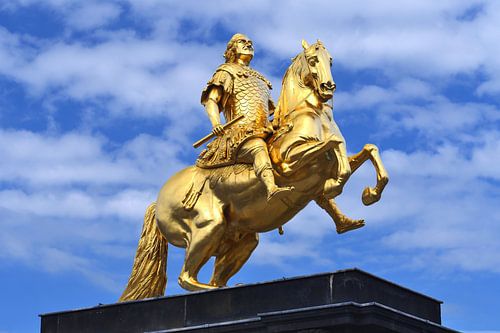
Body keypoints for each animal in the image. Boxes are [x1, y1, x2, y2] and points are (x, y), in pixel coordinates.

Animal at [119, 39, 388, 300]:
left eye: (330, 59)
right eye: (313, 59)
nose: (328, 86)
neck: (309, 114)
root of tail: (158, 202)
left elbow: (368, 150)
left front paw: (370, 195)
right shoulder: (289, 163)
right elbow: (334, 145)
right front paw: (336, 185)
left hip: (241, 240)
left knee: (213, 277)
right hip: (208, 226)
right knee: (186, 277)